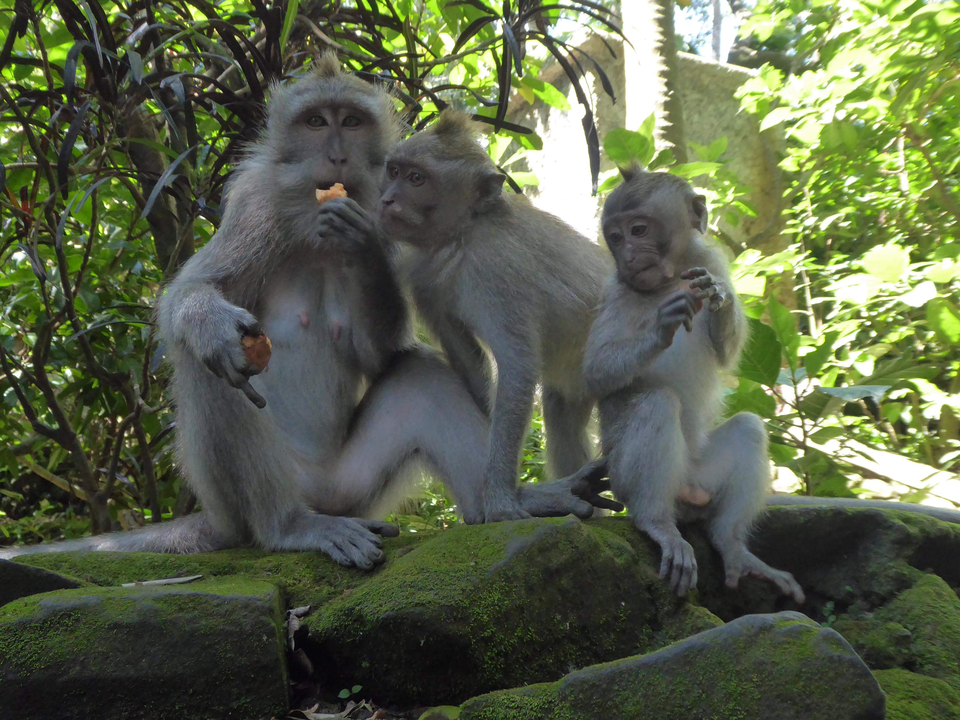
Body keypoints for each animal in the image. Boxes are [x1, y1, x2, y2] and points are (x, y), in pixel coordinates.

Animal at [377, 110, 623, 523]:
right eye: (393, 171)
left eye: (416, 179)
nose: (386, 199)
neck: (462, 235)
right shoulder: (424, 279)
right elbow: (470, 363)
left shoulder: (496, 269)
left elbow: (517, 364)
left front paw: (501, 499)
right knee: (562, 417)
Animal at [582, 167, 805, 603]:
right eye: (614, 237)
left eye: (637, 229)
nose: (629, 255)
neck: (668, 281)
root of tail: (685, 491)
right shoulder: (615, 290)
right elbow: (595, 372)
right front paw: (661, 325)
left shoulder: (709, 260)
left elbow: (727, 356)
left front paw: (720, 296)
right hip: (623, 477)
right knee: (656, 403)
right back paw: (657, 522)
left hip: (703, 473)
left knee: (749, 429)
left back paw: (731, 544)